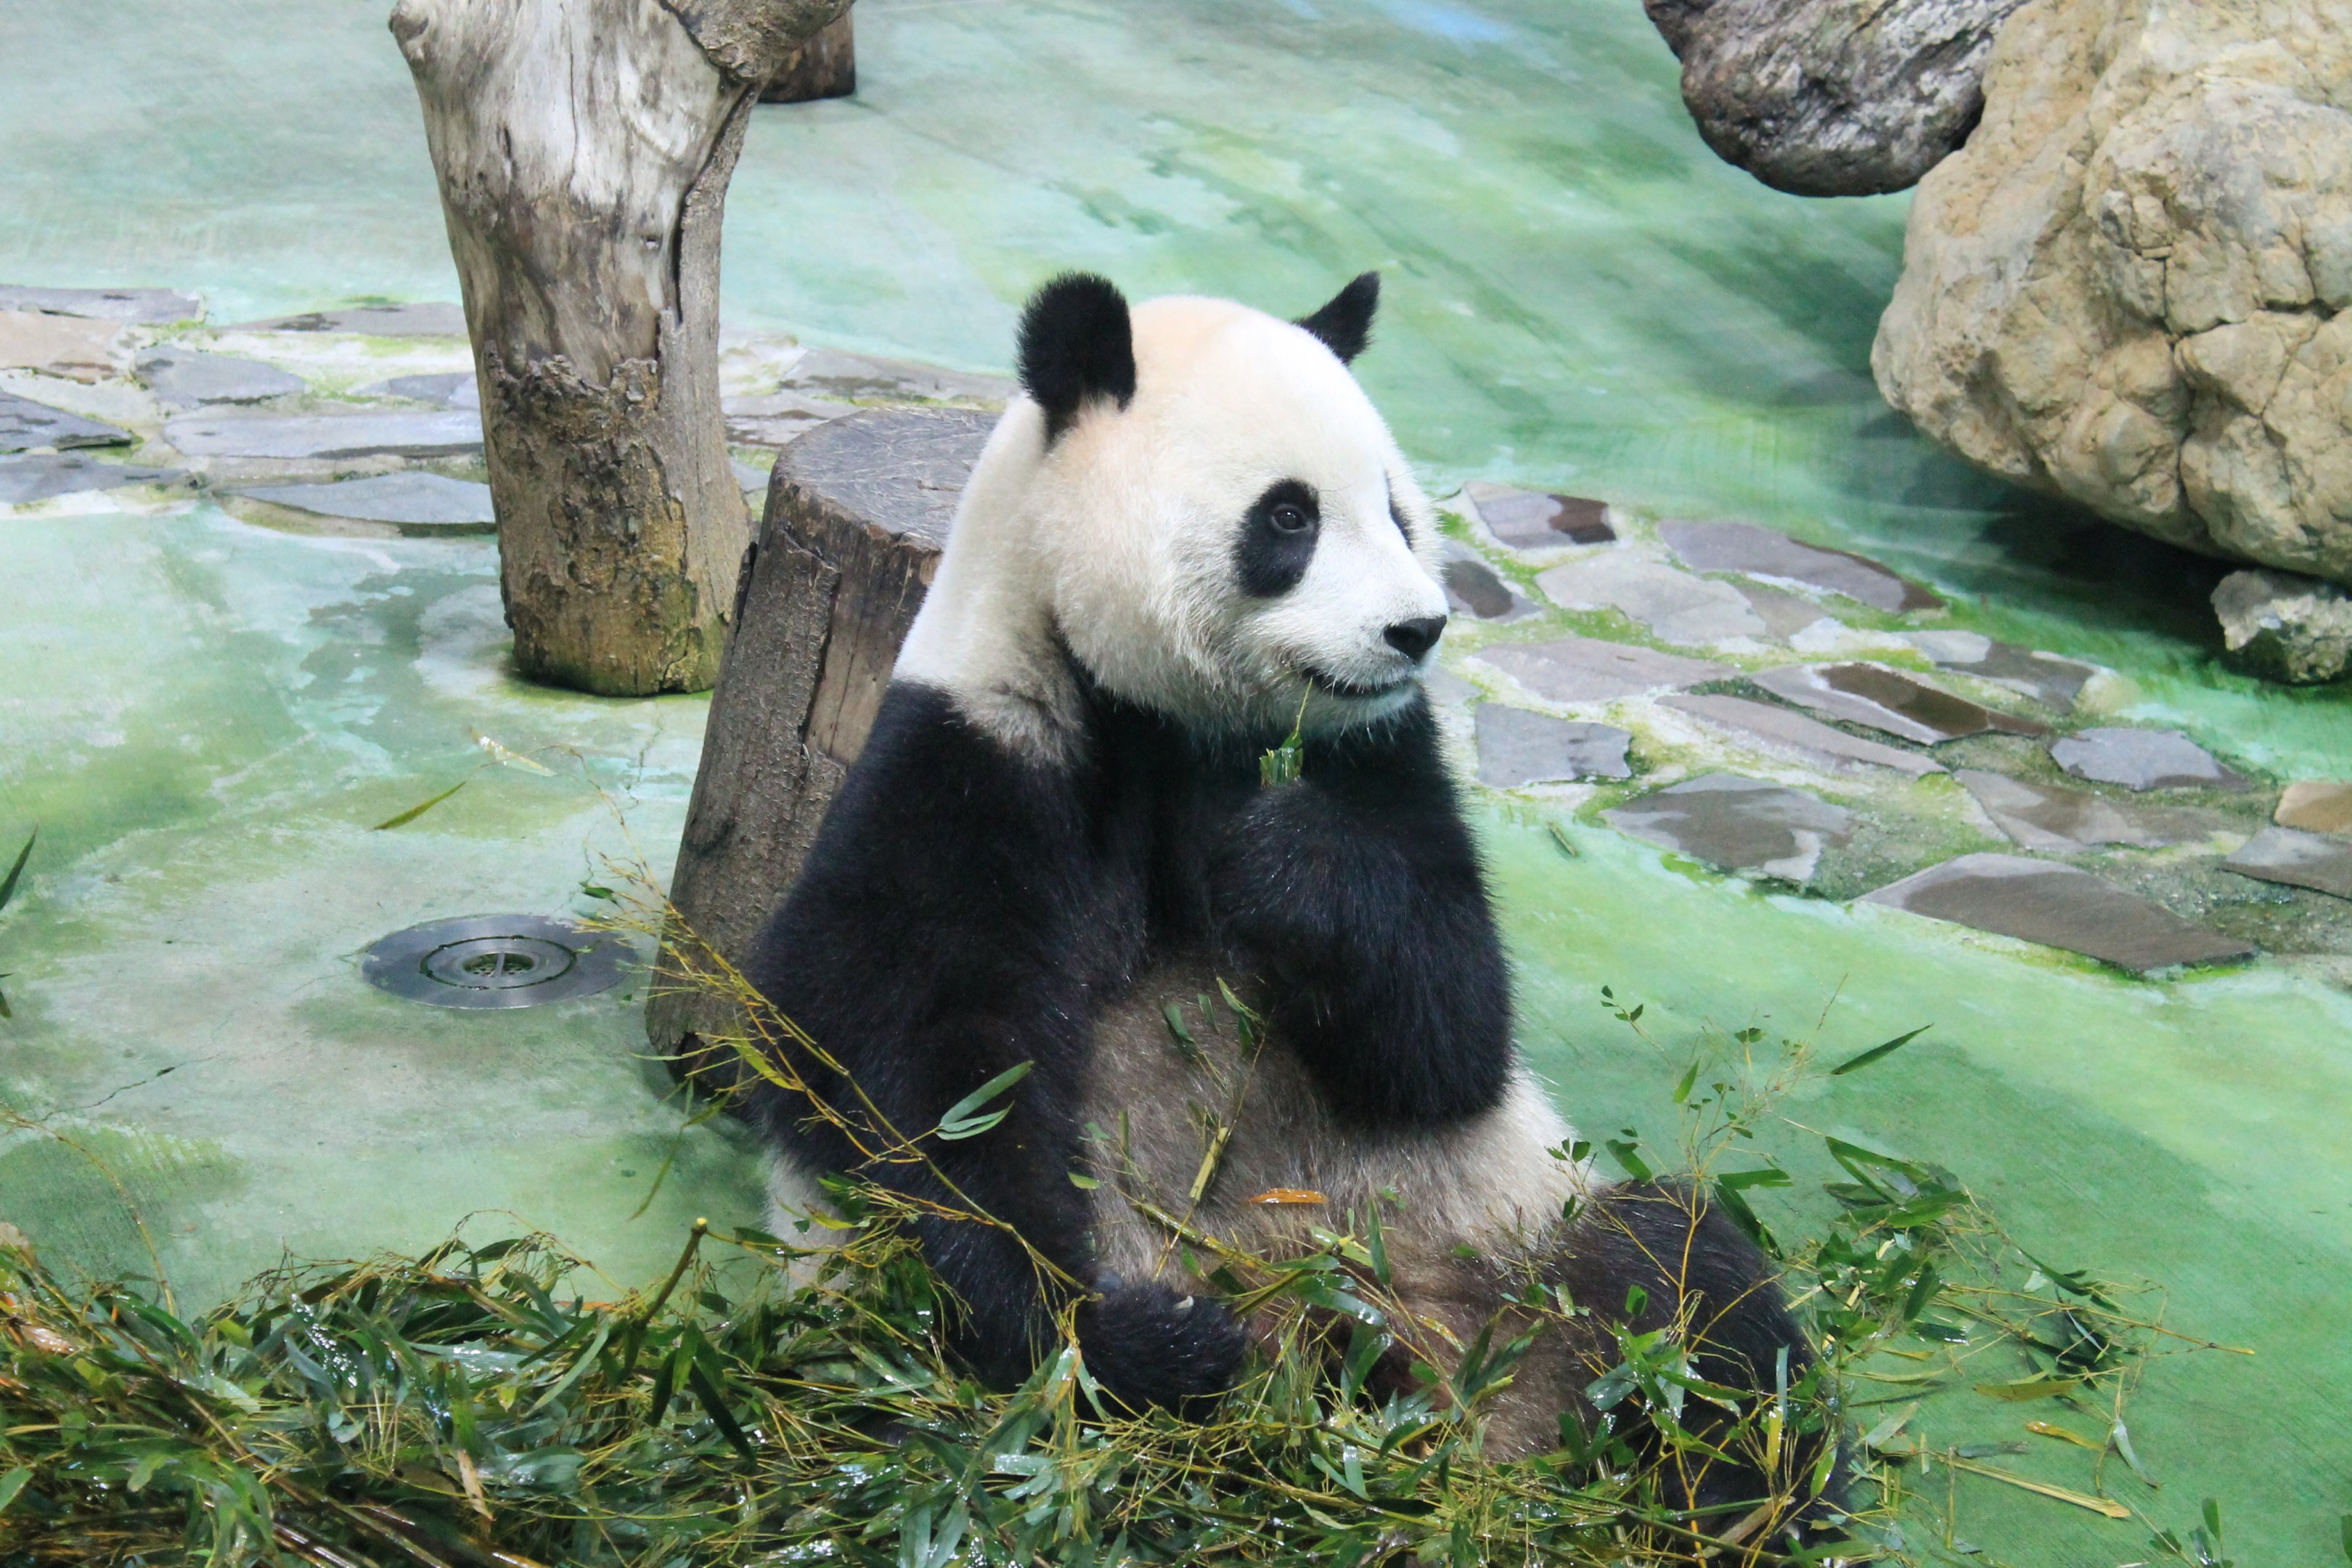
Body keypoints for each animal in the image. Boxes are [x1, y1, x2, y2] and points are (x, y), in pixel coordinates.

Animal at [738, 271, 1835, 1517]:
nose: (1417, 629)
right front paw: (1136, 1343)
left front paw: (1281, 861)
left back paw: (1747, 1497)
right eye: (1289, 519)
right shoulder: (968, 766)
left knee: (1686, 1288)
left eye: (1399, 512)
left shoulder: (1384, 758)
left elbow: (1450, 1037)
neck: (1168, 726)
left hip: (1510, 1240)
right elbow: (920, 1091)